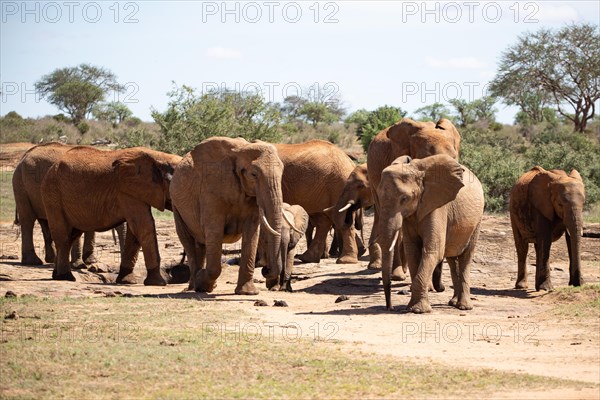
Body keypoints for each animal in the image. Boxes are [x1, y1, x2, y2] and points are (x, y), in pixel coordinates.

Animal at [41, 147, 179, 284]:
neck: (159, 157)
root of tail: (52, 168)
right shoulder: (126, 191)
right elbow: (144, 226)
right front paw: (159, 282)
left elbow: (135, 232)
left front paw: (127, 281)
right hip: (52, 195)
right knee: (63, 237)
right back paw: (66, 277)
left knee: (72, 236)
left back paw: (57, 276)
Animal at [169, 136, 290, 296]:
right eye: (254, 175)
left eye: (282, 173)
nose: (266, 269)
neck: (240, 152)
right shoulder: (210, 190)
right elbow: (214, 230)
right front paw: (204, 283)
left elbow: (251, 232)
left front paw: (248, 293)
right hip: (176, 206)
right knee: (188, 241)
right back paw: (196, 286)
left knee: (201, 244)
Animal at [378, 155, 486, 314]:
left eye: (404, 199)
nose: (389, 307)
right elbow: (412, 251)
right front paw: (412, 307)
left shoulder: (437, 207)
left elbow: (433, 250)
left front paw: (418, 310)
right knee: (452, 259)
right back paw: (453, 302)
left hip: (477, 220)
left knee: (466, 255)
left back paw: (464, 307)